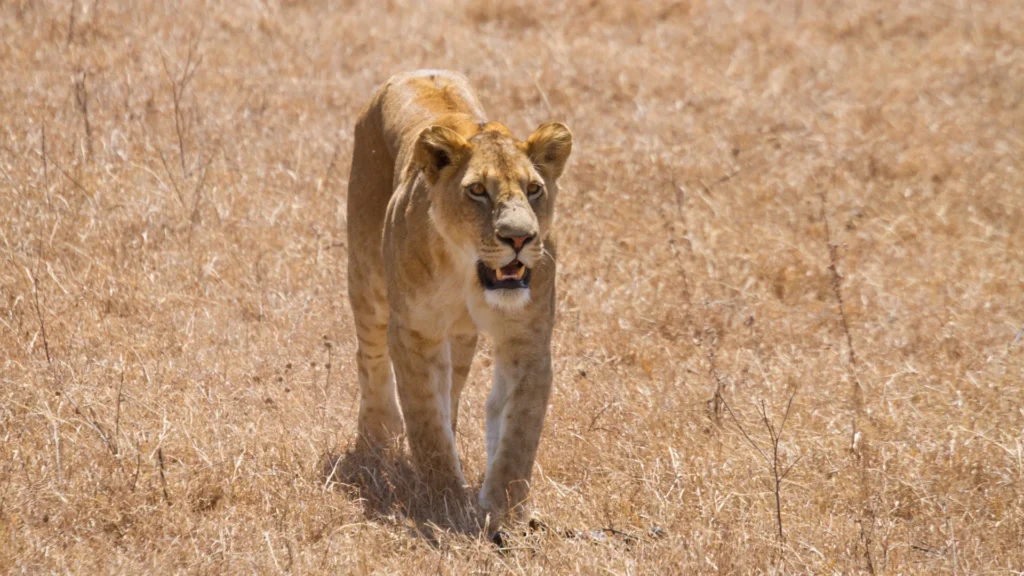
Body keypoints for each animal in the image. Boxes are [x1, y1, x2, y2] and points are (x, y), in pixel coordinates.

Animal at [345, 69, 572, 526]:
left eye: (534, 189)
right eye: (478, 190)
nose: (519, 238)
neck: (467, 272)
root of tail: (414, 70)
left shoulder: (527, 335)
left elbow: (519, 426)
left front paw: (504, 509)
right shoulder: (414, 331)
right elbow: (424, 418)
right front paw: (444, 499)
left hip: (462, 336)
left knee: (454, 383)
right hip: (367, 280)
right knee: (370, 356)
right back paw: (376, 435)